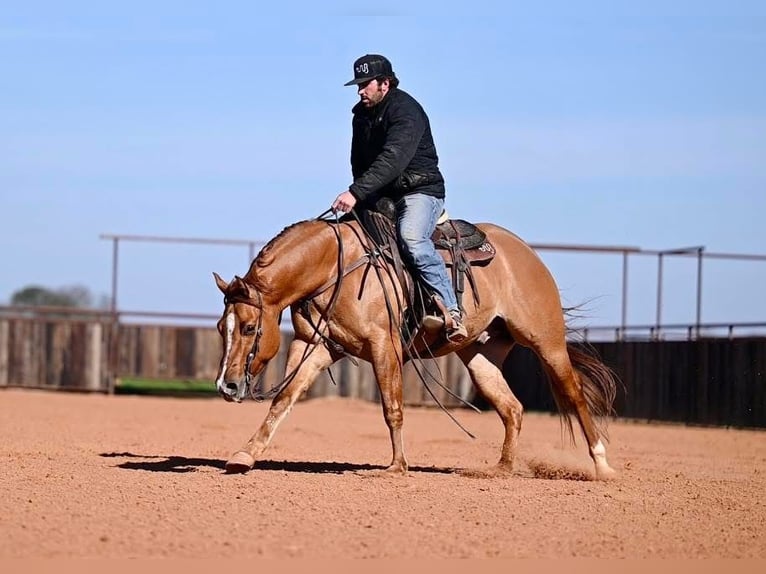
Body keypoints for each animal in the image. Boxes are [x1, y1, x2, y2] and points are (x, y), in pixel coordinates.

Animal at [213, 216, 620, 482]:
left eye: (249, 327)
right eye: (221, 328)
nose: (226, 386)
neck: (334, 266)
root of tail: (526, 253)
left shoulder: (384, 345)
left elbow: (392, 408)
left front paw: (396, 467)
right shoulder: (317, 346)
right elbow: (283, 400)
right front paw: (245, 455)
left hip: (546, 342)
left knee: (575, 395)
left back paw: (602, 466)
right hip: (481, 355)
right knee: (512, 407)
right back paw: (501, 469)